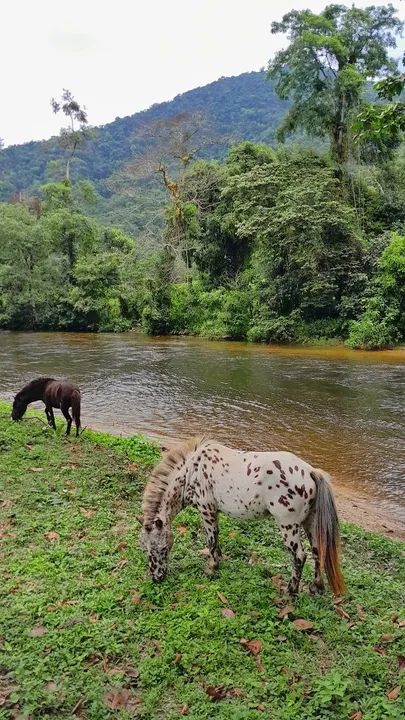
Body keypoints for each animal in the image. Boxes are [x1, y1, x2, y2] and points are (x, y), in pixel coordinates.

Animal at [140, 436, 344, 592]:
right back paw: (315, 587)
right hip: (310, 523)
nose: (157, 578)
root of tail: (311, 472)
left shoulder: (206, 510)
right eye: (145, 548)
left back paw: (290, 591)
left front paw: (212, 569)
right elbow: (216, 539)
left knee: (299, 557)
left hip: (289, 526)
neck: (192, 470)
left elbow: (211, 540)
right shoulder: (214, 512)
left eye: (162, 548)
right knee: (318, 551)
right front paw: (218, 561)